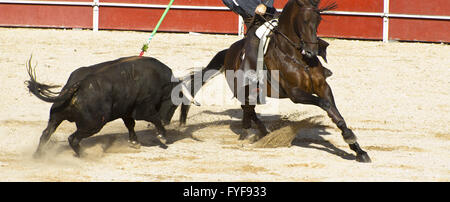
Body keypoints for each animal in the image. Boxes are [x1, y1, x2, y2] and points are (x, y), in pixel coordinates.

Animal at [25, 56, 192, 157]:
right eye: (174, 105)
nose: (166, 121)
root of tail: (78, 85)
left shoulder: (126, 111)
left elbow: (130, 125)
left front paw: (135, 142)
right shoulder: (143, 109)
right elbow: (153, 118)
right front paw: (162, 135)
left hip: (56, 116)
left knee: (46, 134)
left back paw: (38, 156)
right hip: (93, 124)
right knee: (73, 138)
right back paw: (85, 156)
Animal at [183, 0, 370, 162]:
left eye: (319, 19)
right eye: (303, 20)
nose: (311, 51)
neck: (297, 56)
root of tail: (229, 52)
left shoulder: (323, 86)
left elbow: (334, 111)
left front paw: (358, 149)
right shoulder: (295, 93)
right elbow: (325, 104)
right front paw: (350, 139)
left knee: (249, 110)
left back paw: (260, 133)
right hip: (243, 90)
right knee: (248, 109)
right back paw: (250, 134)